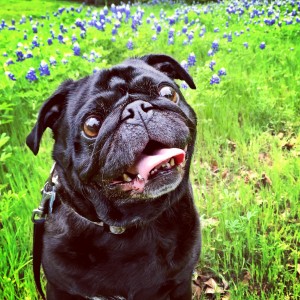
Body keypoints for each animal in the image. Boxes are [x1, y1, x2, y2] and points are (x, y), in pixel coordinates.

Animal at [27, 54, 200, 300]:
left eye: (168, 93)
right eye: (91, 126)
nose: (136, 108)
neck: (129, 224)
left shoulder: (181, 283)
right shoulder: (60, 288)